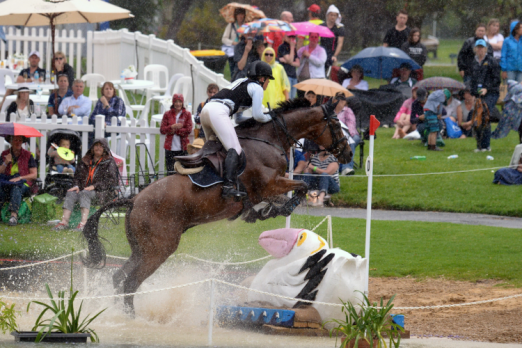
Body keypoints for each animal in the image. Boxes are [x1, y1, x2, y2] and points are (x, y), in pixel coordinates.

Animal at [80, 98, 350, 316]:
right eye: (337, 126)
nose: (347, 153)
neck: (269, 139)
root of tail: (134, 200)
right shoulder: (270, 184)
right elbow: (302, 186)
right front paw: (276, 209)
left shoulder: (271, 187)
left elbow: (292, 192)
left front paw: (262, 212)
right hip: (158, 250)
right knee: (130, 283)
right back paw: (132, 319)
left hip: (141, 249)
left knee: (119, 278)